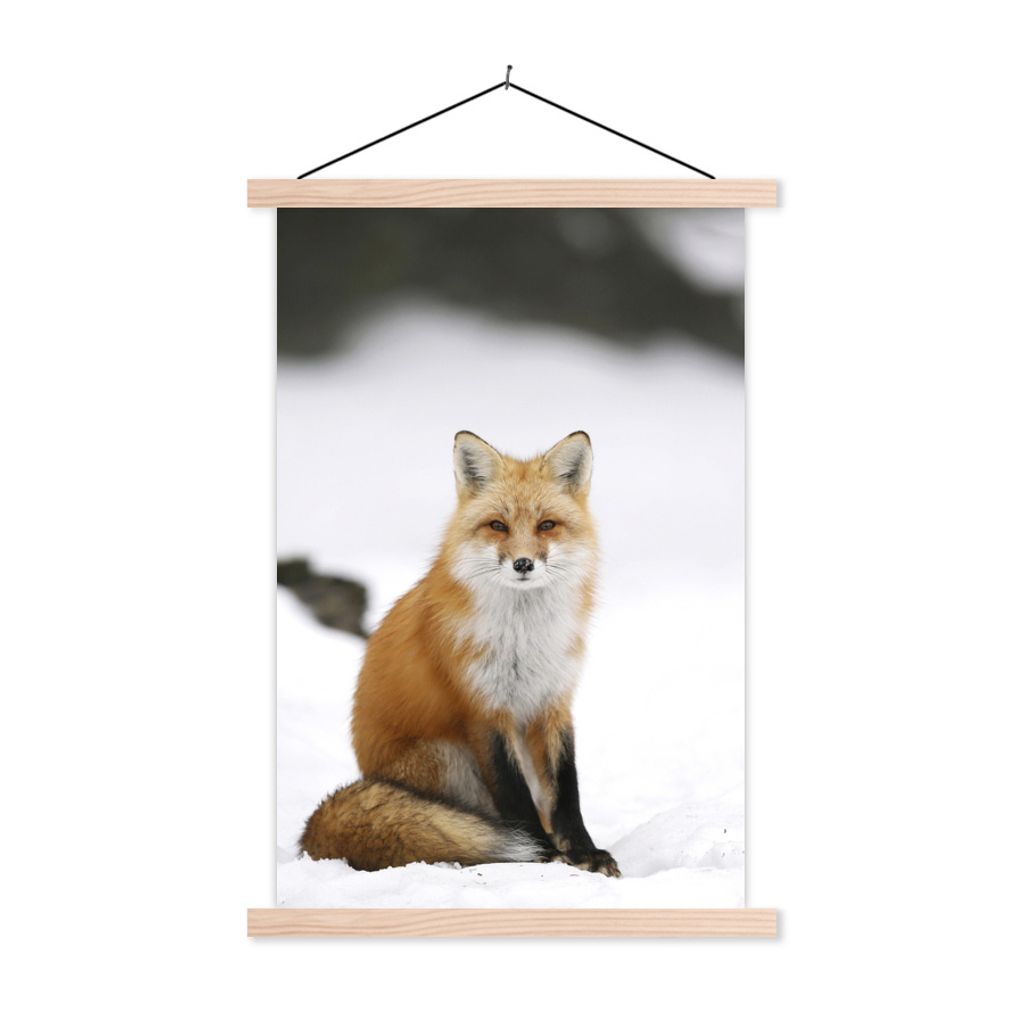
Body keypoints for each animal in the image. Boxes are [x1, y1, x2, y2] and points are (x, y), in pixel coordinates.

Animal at [299, 429, 620, 877]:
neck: (523, 638)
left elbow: (566, 792)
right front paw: (544, 854)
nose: (523, 563)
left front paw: (584, 852)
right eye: (498, 526)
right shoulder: (484, 709)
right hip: (445, 756)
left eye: (547, 526)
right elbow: (514, 796)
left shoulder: (553, 702)